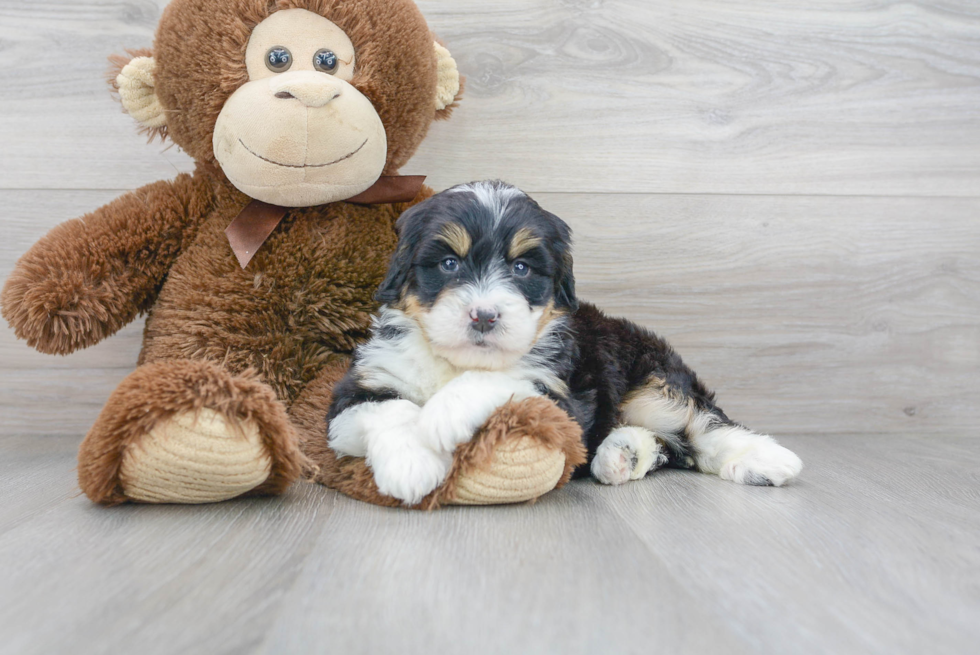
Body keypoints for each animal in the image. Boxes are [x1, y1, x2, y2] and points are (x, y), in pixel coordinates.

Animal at [326, 179, 800, 502]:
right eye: (448, 264)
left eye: (521, 269)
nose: (484, 315)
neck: (457, 361)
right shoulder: (358, 390)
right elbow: (390, 408)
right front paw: (411, 464)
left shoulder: (563, 396)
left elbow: (503, 379)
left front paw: (443, 415)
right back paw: (621, 454)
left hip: (652, 378)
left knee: (700, 424)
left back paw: (765, 460)